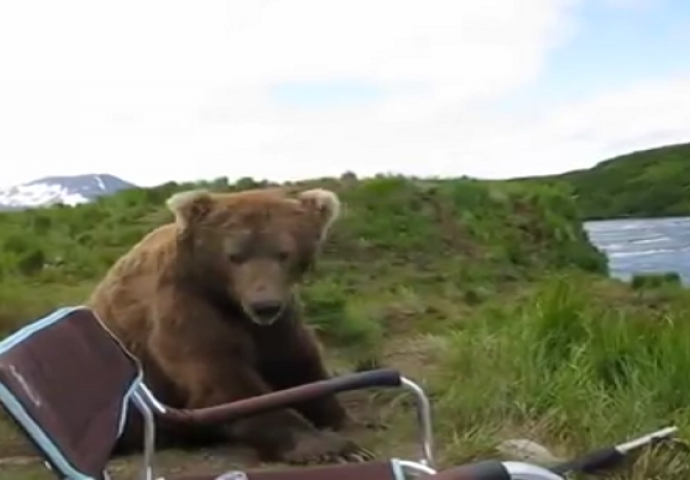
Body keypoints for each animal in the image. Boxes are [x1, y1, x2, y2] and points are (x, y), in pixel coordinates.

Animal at [86, 187, 370, 464]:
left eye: (283, 253)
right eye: (235, 256)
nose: (264, 304)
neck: (228, 299)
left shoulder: (279, 321)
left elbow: (296, 361)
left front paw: (339, 417)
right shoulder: (185, 307)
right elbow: (224, 379)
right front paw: (327, 447)